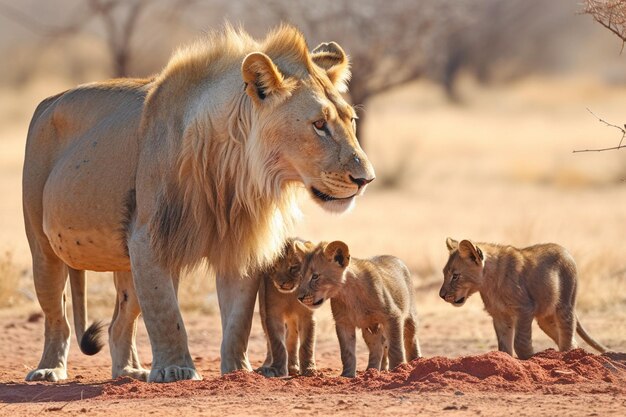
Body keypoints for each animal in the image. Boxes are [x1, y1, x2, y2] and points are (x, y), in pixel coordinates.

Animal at [23, 24, 376, 382]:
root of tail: (49, 101)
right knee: (57, 317)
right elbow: (166, 313)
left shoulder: (238, 244)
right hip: (43, 247)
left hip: (125, 264)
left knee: (119, 323)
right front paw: (176, 369)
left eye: (351, 121)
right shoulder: (149, 238)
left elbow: (238, 319)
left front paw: (237, 370)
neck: (232, 170)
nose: (366, 179)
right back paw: (49, 369)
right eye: (319, 125)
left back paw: (128, 371)